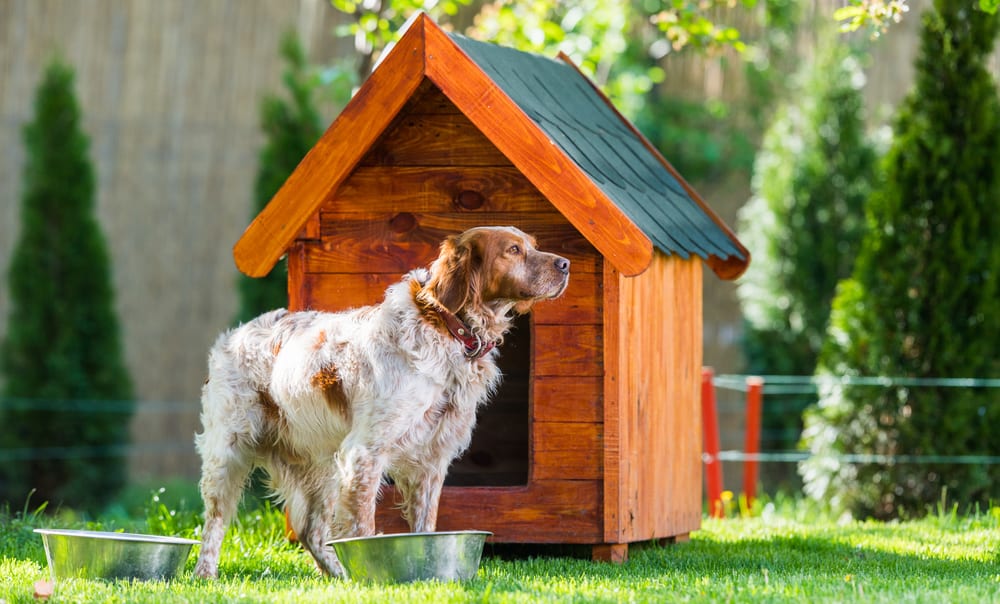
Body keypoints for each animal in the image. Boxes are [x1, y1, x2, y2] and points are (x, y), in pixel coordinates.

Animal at [193, 225, 572, 576]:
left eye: (533, 245)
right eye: (513, 249)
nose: (566, 264)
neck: (447, 329)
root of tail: (233, 336)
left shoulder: (431, 461)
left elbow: (425, 528)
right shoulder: (364, 453)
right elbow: (363, 528)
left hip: (321, 464)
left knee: (310, 530)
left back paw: (337, 574)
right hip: (228, 453)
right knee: (214, 524)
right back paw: (205, 574)